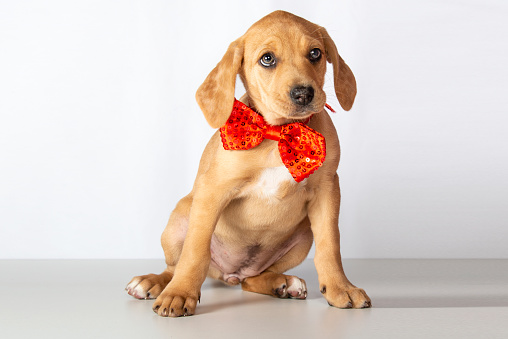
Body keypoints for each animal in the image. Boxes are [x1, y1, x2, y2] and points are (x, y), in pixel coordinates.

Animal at [126, 11, 374, 318]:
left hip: (302, 237)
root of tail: (230, 274)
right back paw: (155, 282)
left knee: (253, 280)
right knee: (174, 266)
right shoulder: (213, 191)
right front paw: (180, 294)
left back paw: (283, 284)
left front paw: (341, 287)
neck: (278, 132)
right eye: (267, 59)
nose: (303, 94)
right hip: (179, 218)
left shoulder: (327, 190)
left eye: (315, 53)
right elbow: (195, 252)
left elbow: (331, 245)